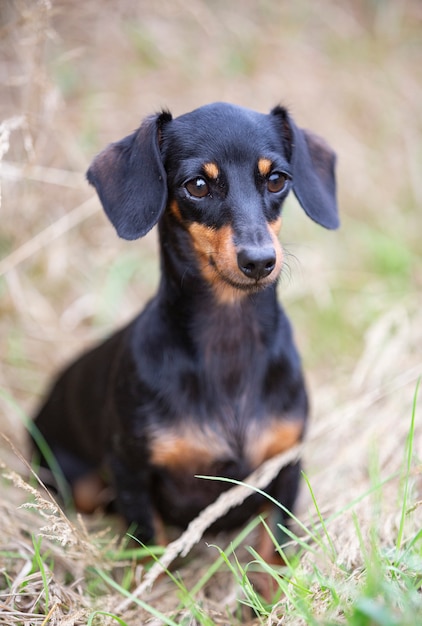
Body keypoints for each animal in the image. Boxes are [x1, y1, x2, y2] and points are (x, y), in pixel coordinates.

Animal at [30, 100, 340, 560]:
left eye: (277, 179)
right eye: (197, 185)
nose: (259, 260)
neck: (228, 343)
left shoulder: (283, 468)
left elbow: (273, 552)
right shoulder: (131, 471)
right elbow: (151, 549)